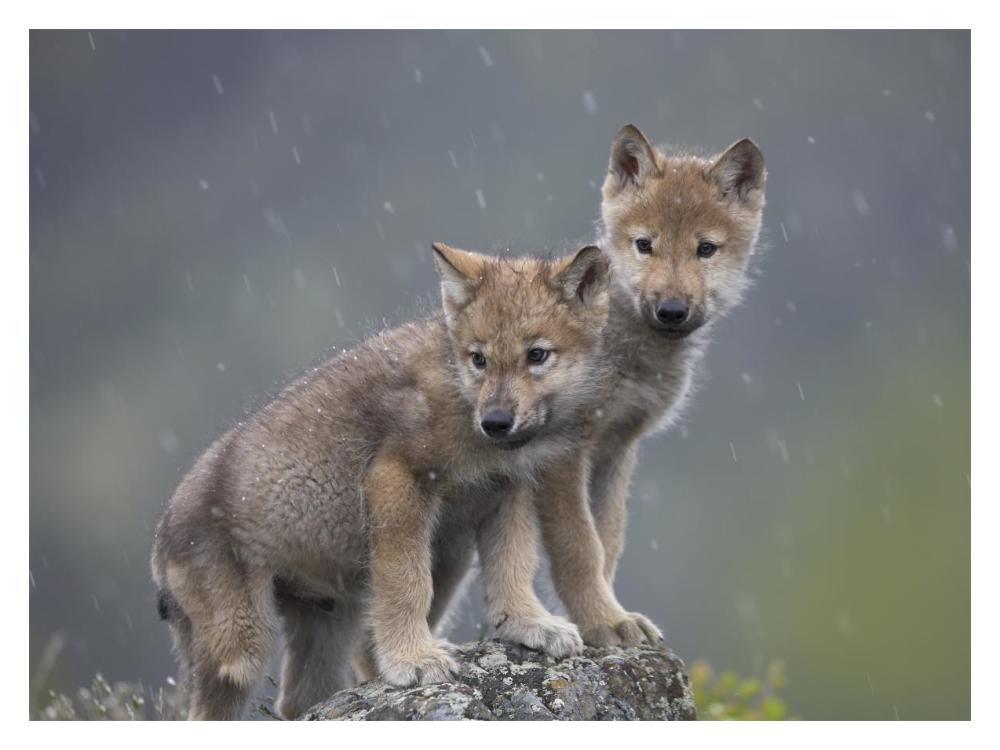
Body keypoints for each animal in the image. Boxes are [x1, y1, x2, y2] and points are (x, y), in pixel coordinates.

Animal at [151, 243, 611, 719]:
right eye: (478, 358)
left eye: (537, 355)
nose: (496, 422)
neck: (460, 398)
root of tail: (160, 540)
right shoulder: (396, 479)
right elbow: (407, 583)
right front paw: (415, 660)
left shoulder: (506, 493)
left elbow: (514, 568)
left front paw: (531, 626)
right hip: (239, 652)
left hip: (332, 620)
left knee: (299, 700)